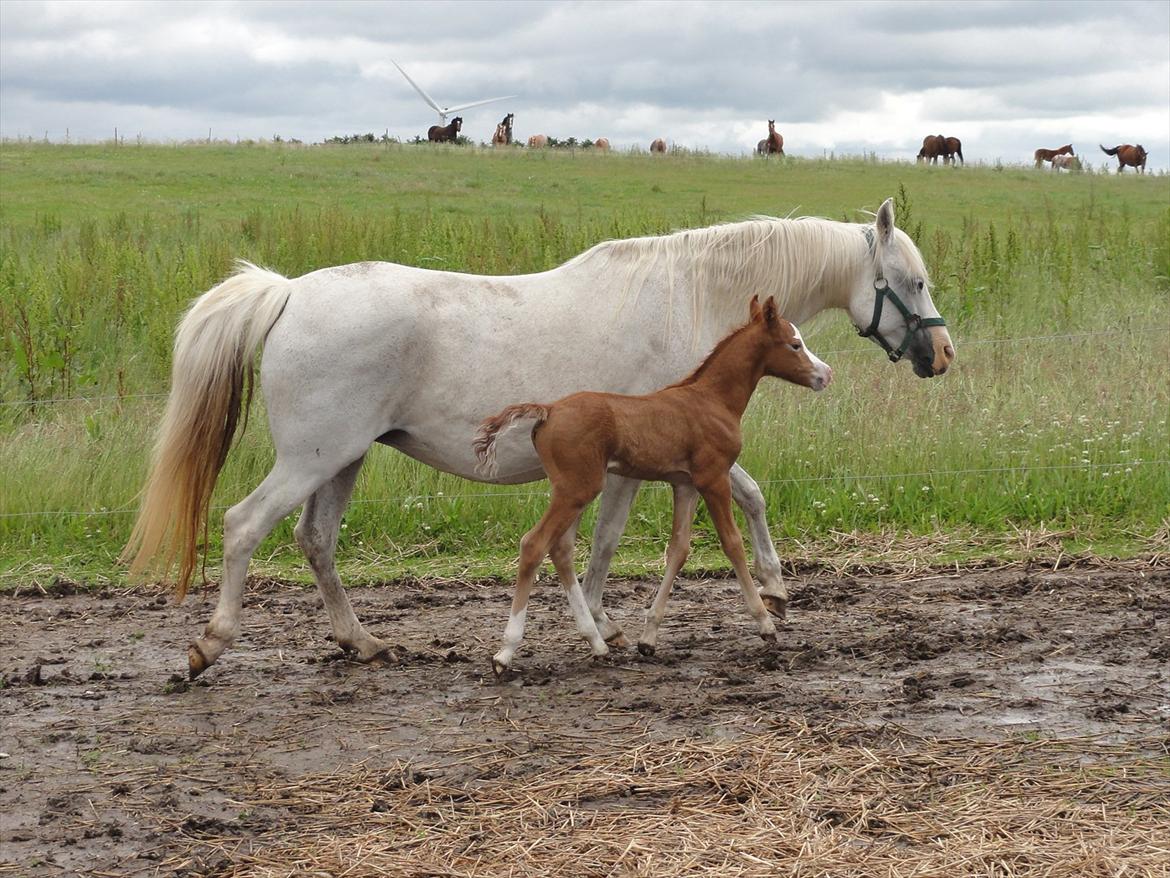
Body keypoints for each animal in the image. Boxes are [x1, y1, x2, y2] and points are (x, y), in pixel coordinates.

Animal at [474, 296, 832, 673]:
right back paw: (506, 652)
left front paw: (649, 638)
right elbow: (732, 543)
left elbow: (678, 550)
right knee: (534, 544)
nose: (825, 374)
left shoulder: (685, 484)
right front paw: (765, 623)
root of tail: (548, 410)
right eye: (795, 344)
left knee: (559, 550)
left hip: (572, 490)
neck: (712, 399)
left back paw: (597, 644)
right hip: (577, 489)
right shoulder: (713, 478)